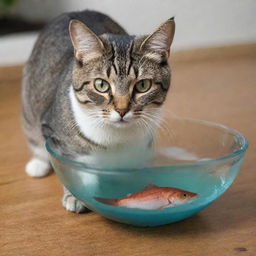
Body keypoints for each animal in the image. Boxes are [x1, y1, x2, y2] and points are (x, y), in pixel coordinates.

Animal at [21, 10, 175, 213]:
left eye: (143, 85)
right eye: (101, 85)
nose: (122, 110)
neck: (115, 137)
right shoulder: (55, 137)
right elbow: (75, 171)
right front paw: (76, 196)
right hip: (29, 106)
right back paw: (37, 165)